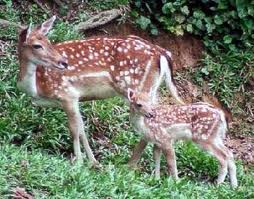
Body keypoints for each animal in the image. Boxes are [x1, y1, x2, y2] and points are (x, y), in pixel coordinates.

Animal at [17, 15, 184, 166]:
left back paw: (129, 166)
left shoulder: (67, 94)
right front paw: (93, 162)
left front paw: (78, 163)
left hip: (137, 88)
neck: (37, 87)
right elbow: (82, 128)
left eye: (48, 42)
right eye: (37, 45)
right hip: (152, 90)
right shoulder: (74, 99)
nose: (63, 62)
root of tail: (162, 53)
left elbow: (74, 130)